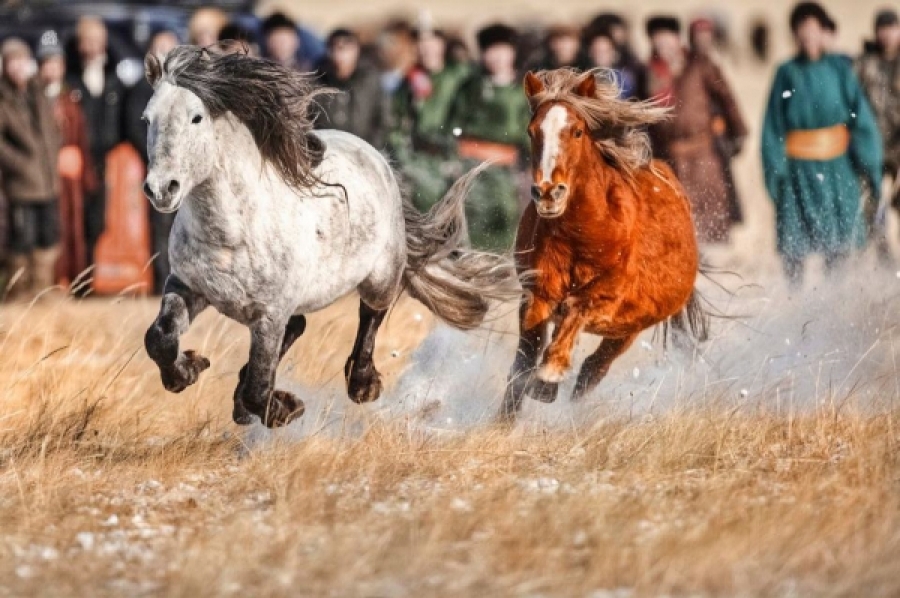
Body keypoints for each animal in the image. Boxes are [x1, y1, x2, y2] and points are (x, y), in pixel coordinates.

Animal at [140, 46, 515, 428]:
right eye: (147, 119)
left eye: (196, 118)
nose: (161, 189)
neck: (231, 235)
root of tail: (377, 157)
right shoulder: (187, 285)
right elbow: (159, 338)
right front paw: (187, 370)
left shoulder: (270, 315)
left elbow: (259, 386)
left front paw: (286, 408)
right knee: (300, 324)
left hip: (381, 273)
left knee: (371, 315)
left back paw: (363, 386)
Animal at [500, 68, 708, 421]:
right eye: (532, 131)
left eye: (577, 131)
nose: (548, 193)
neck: (584, 234)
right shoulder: (536, 294)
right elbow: (521, 364)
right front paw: (510, 414)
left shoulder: (608, 296)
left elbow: (574, 307)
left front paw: (550, 373)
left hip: (627, 330)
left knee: (593, 370)